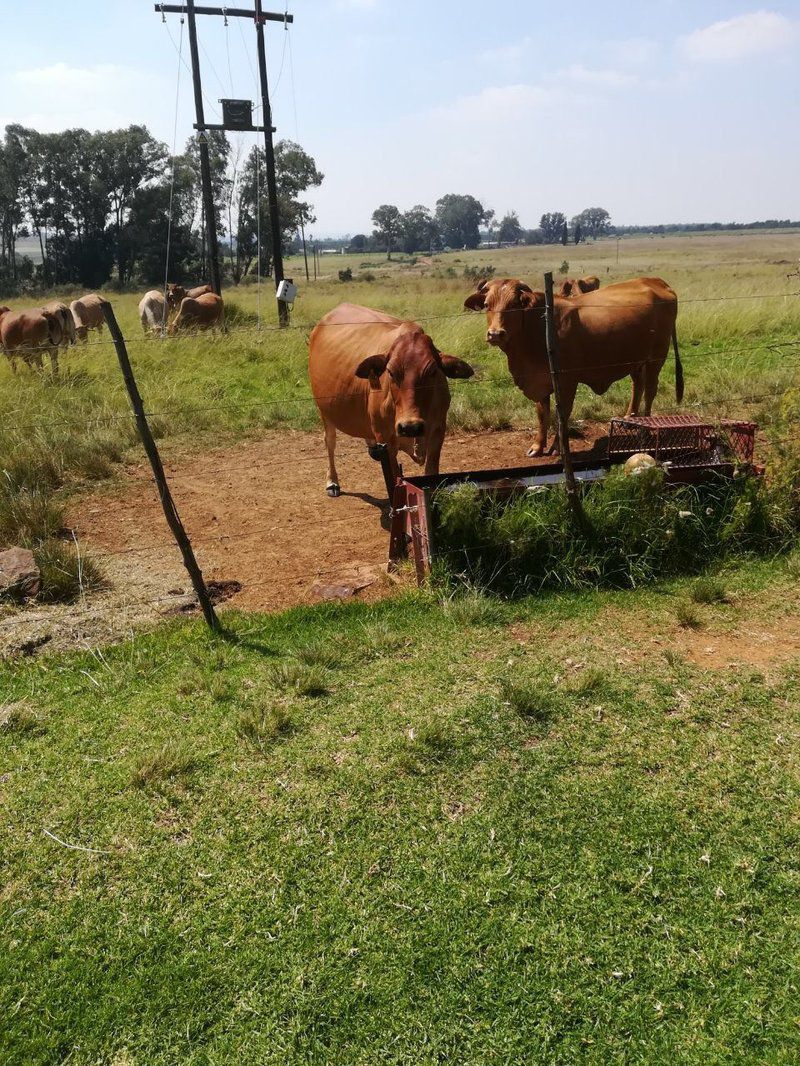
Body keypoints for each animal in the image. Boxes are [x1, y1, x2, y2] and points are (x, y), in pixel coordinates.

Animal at [305, 302, 469, 496]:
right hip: (324, 409)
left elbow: (431, 472)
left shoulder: (438, 431)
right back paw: (332, 481)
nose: (410, 427)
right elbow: (395, 479)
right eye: (390, 372)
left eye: (432, 371)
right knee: (330, 441)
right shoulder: (387, 441)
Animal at [462, 277, 682, 456]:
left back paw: (645, 426)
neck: (538, 328)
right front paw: (537, 446)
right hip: (635, 360)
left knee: (650, 391)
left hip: (656, 358)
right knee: (638, 385)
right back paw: (630, 418)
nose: (496, 334)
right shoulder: (539, 381)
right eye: (487, 304)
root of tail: (656, 281)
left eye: (514, 305)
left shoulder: (566, 382)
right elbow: (542, 415)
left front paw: (557, 447)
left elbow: (562, 415)